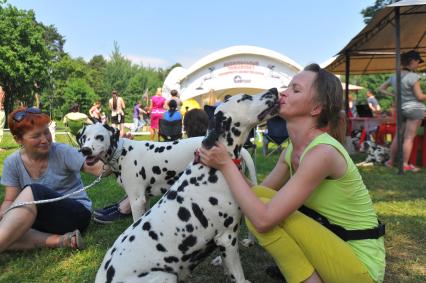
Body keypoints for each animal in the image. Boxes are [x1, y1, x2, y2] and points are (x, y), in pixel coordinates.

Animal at [76, 124, 256, 224]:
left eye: (99, 137)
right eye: (84, 137)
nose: (85, 150)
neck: (122, 153)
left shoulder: (136, 201)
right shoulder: (145, 199)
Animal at [95, 89, 278, 283]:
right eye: (245, 97)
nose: (274, 90)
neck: (213, 170)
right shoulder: (227, 238)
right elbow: (239, 275)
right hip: (165, 276)